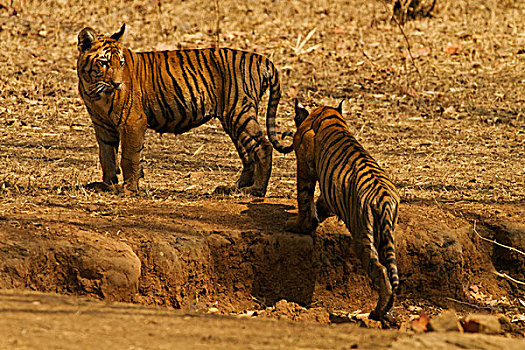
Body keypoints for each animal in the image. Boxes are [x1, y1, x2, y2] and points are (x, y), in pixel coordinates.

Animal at [76, 24, 292, 197]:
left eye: (120, 63)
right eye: (104, 62)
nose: (117, 84)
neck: (93, 89)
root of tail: (261, 58)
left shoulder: (132, 121)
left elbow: (129, 157)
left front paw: (128, 188)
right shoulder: (102, 125)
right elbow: (106, 157)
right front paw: (107, 184)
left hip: (239, 113)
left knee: (263, 146)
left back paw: (257, 190)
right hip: (233, 120)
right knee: (248, 154)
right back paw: (234, 188)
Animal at [284, 99, 400, 326]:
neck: (328, 116)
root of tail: (383, 197)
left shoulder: (304, 165)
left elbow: (304, 199)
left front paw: (298, 226)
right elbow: (320, 203)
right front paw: (316, 218)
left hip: (362, 235)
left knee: (380, 270)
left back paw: (377, 313)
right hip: (385, 233)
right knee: (390, 270)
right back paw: (388, 312)